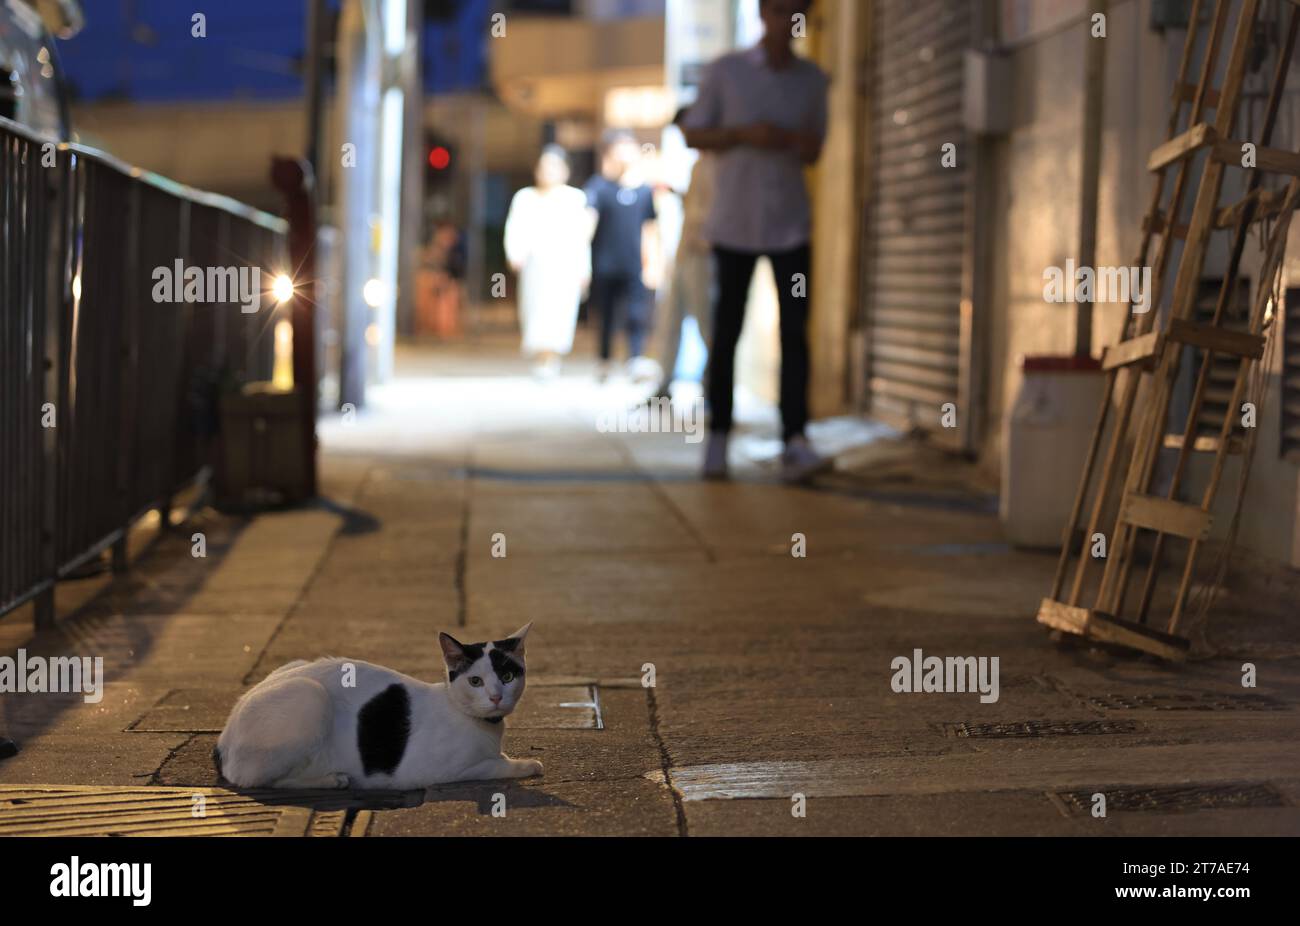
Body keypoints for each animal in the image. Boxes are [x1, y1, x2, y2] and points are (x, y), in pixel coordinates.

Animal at [215, 621, 540, 790]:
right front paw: (526, 765)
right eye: (475, 681)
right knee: (258, 780)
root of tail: (224, 735)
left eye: (507, 677)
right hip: (310, 696)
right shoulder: (429, 772)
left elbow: (496, 759)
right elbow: (492, 766)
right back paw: (333, 779)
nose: (496, 697)